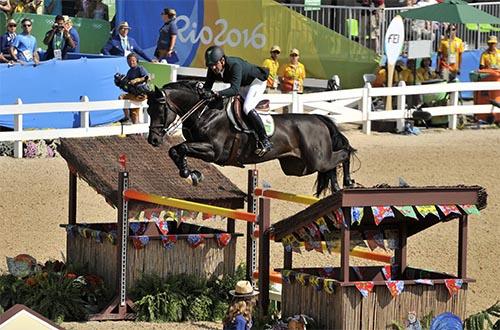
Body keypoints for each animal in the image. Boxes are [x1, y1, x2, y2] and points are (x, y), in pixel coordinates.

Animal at [146, 81, 356, 197]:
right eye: (148, 110)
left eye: (160, 110)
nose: (153, 140)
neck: (205, 112)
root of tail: (318, 119)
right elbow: (175, 150)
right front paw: (191, 174)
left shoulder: (213, 151)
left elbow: (181, 148)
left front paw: (191, 174)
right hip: (298, 167)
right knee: (331, 166)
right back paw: (336, 187)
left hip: (316, 160)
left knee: (344, 154)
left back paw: (347, 182)